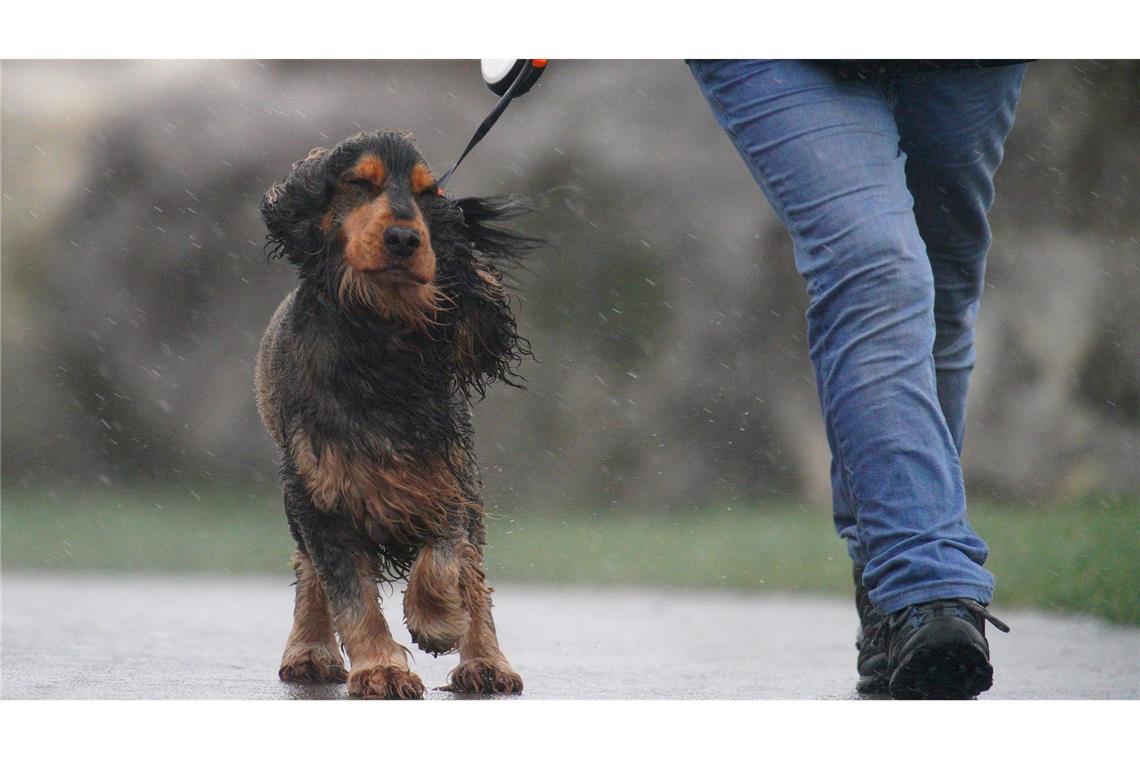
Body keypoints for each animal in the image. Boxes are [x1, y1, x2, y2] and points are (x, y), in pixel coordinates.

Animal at [254, 131, 533, 701]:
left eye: (429, 194)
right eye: (360, 183)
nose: (405, 238)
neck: (379, 334)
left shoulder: (445, 477)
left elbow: (448, 557)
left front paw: (437, 620)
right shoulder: (320, 494)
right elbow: (349, 592)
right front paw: (381, 669)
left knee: (475, 574)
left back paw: (485, 662)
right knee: (308, 570)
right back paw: (309, 651)